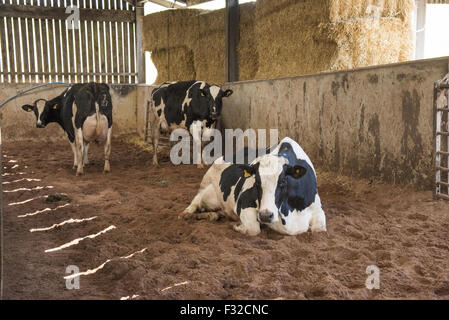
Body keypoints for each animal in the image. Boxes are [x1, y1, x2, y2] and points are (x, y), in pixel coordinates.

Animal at [181, 136, 326, 236]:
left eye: (283, 181)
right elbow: (253, 229)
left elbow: (319, 229)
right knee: (196, 200)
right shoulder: (244, 203)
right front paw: (237, 226)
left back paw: (212, 215)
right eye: (256, 182)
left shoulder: (317, 210)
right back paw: (186, 213)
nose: (265, 216)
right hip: (206, 185)